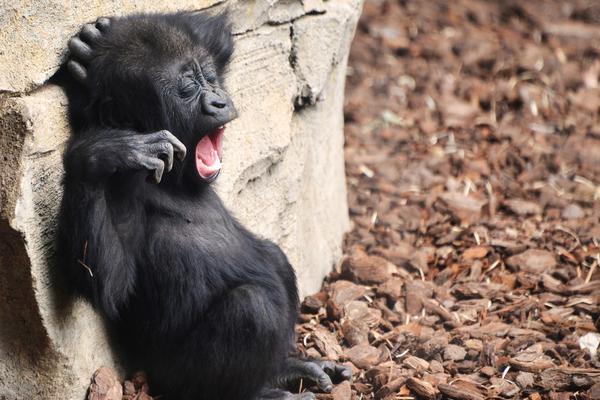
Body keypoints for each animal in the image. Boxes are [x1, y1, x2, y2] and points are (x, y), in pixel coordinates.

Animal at [58, 10, 350, 400]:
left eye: (209, 78)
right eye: (187, 88)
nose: (217, 100)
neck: (173, 181)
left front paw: (92, 42)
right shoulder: (122, 188)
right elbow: (110, 282)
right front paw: (95, 156)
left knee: (274, 259)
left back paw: (284, 371)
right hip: (175, 379)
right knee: (250, 308)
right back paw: (261, 391)